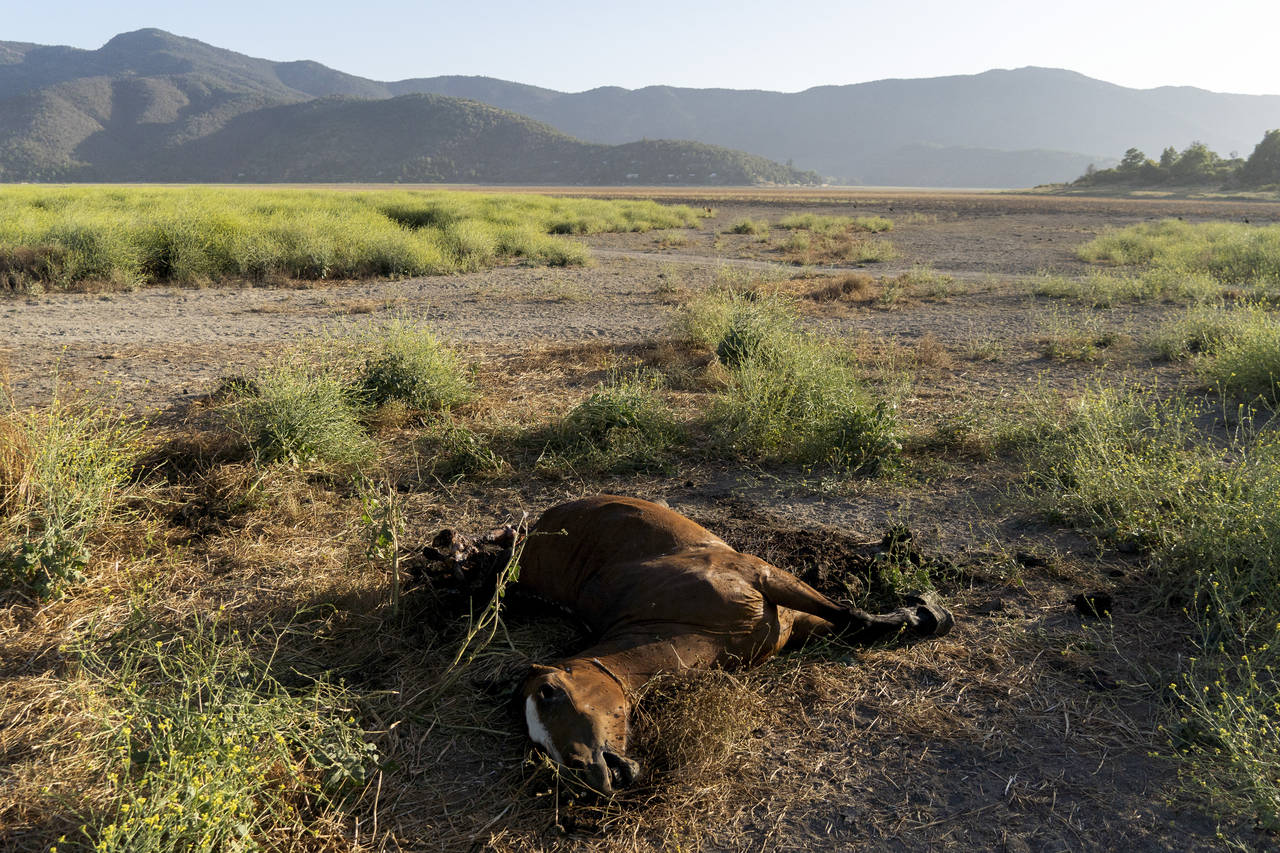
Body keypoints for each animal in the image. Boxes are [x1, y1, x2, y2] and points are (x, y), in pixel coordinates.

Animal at [509, 491, 952, 788]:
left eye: (549, 692)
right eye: (538, 747)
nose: (581, 773)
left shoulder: (769, 580)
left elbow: (853, 617)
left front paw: (927, 613)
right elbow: (855, 625)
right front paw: (920, 614)